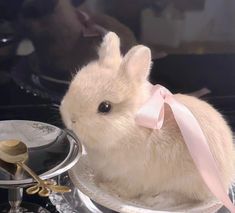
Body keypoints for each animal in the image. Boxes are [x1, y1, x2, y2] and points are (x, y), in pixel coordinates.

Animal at [60, 31, 235, 206]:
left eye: (105, 107)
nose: (71, 119)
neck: (132, 127)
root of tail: (228, 175)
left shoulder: (132, 176)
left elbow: (126, 190)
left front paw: (109, 188)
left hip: (188, 182)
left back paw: (155, 200)